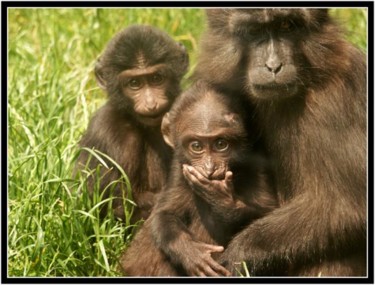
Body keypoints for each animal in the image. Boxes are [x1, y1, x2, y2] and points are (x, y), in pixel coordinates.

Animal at [119, 80, 280, 276]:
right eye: (196, 146)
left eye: (221, 144)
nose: (210, 168)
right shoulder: (178, 169)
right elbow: (165, 214)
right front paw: (191, 253)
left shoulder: (260, 163)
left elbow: (268, 215)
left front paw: (221, 199)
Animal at [192, 8, 368, 276]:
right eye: (254, 30)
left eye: (286, 25)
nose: (273, 66)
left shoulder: (334, 101)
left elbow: (348, 205)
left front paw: (239, 254)